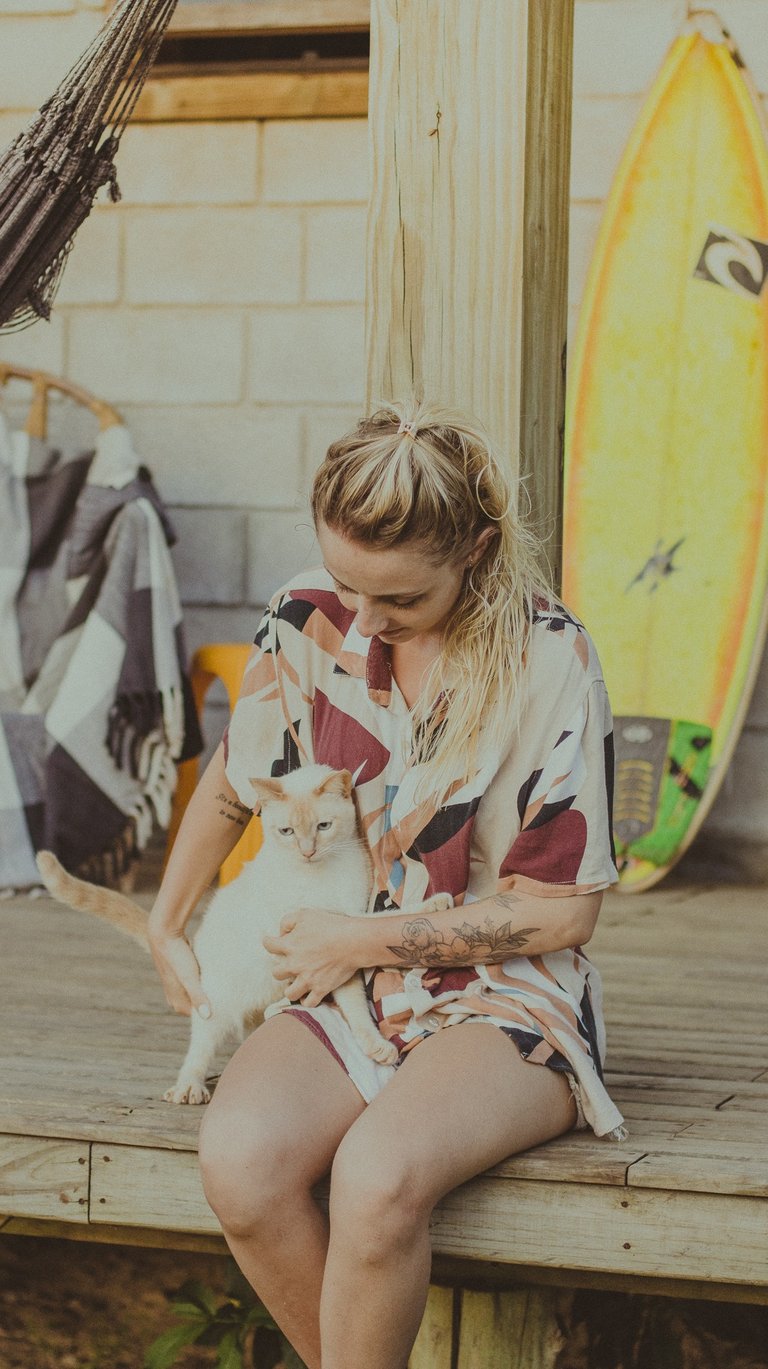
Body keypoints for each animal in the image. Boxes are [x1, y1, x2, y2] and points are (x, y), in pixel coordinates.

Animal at [36, 764, 452, 1105]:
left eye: (323, 826)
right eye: (286, 831)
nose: (307, 851)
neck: (323, 875)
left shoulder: (342, 924)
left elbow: (378, 923)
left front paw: (433, 906)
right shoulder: (317, 939)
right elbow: (355, 994)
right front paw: (376, 1045)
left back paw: (278, 1007)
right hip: (216, 1004)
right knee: (200, 1047)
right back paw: (189, 1087)